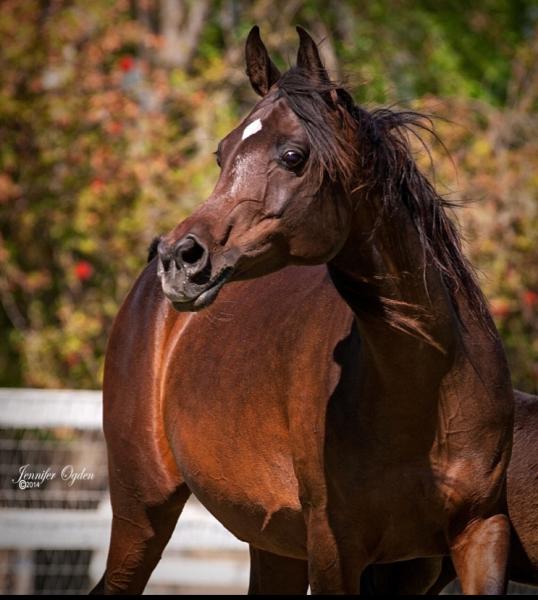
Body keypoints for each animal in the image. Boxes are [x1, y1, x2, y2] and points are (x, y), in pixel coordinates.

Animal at [92, 25, 510, 592]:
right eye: (221, 154)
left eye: (293, 155)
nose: (179, 258)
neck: (433, 386)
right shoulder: (335, 547)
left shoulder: (477, 535)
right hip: (142, 513)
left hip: (274, 545)